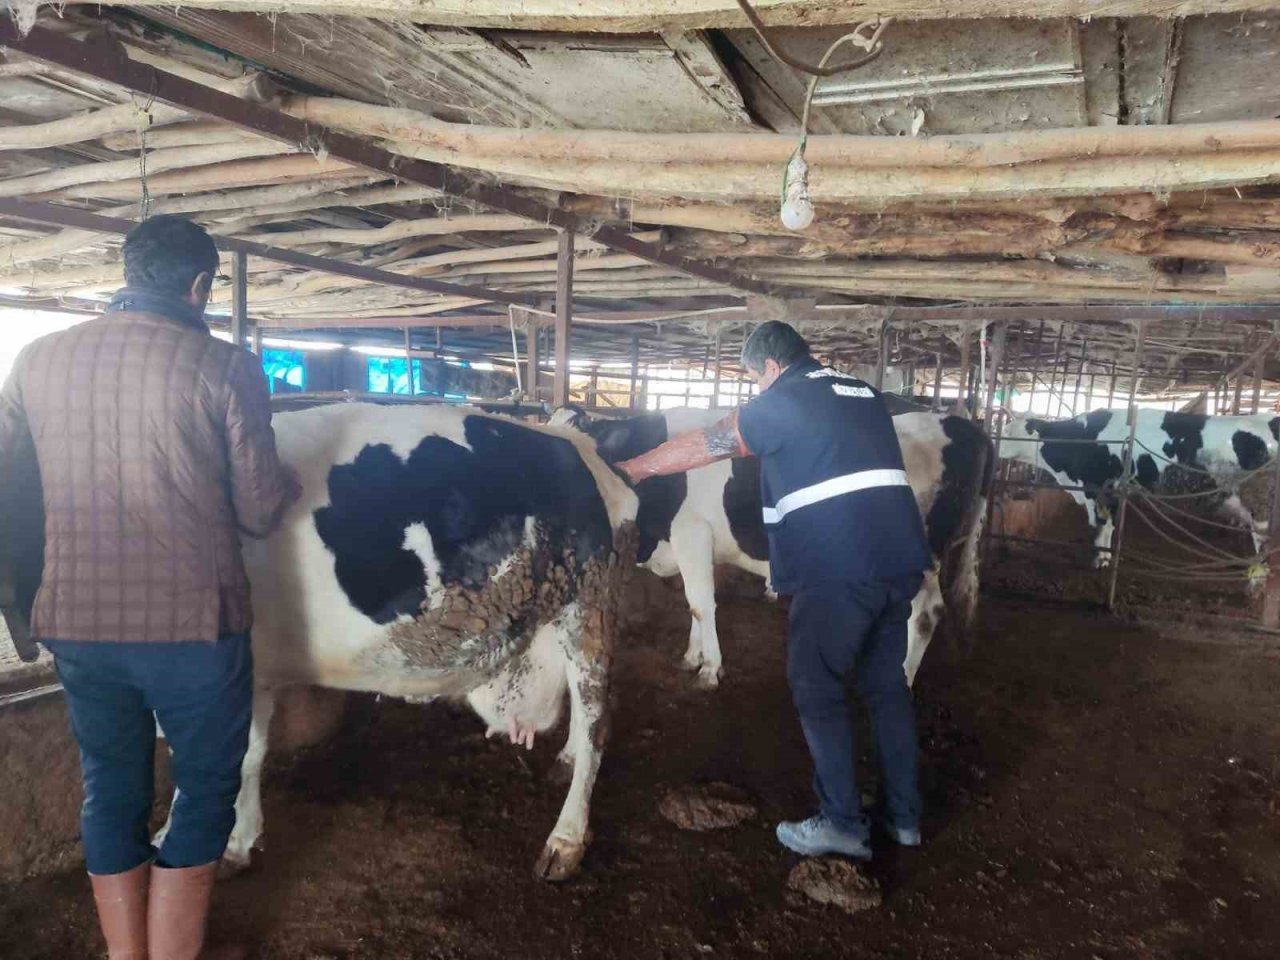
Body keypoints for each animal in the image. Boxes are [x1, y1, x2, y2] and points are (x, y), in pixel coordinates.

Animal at [151, 401, 640, 885]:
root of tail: (585, 447)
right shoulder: (255, 670)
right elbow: (247, 756)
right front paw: (235, 844)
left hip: (589, 606)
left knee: (596, 719)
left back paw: (565, 839)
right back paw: (566, 761)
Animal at [550, 407, 988, 691]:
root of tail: (959, 424)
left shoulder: (692, 533)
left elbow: (700, 604)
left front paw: (709, 669)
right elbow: (694, 605)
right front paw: (692, 656)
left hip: (918, 558)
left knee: (926, 614)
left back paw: (904, 677)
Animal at [1003, 409, 1274, 568]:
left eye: (1008, 430)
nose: (996, 442)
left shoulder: (1098, 488)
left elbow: (1101, 525)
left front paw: (1099, 559)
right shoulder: (1113, 492)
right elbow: (1110, 527)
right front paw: (1106, 556)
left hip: (1261, 506)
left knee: (1262, 540)